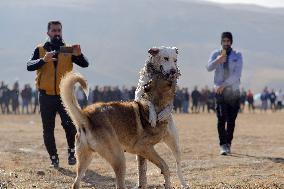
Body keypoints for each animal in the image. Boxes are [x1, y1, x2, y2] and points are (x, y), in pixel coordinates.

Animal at [59, 48, 189, 188]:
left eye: (174, 60)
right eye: (165, 59)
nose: (174, 71)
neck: (156, 101)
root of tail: (87, 116)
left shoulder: (143, 152)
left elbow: (147, 173)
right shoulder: (143, 147)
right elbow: (164, 166)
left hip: (85, 158)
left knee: (76, 183)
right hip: (119, 158)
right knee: (120, 184)